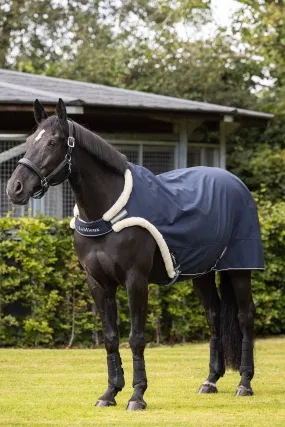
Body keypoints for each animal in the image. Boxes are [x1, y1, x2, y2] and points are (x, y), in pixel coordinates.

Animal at [7, 99, 262, 412]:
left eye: (52, 142)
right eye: (30, 140)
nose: (15, 188)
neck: (106, 214)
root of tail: (235, 183)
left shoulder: (135, 280)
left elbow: (136, 338)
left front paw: (137, 395)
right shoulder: (98, 283)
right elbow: (110, 338)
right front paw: (109, 393)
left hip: (239, 268)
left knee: (245, 316)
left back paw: (245, 383)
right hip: (201, 273)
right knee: (213, 315)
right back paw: (211, 380)